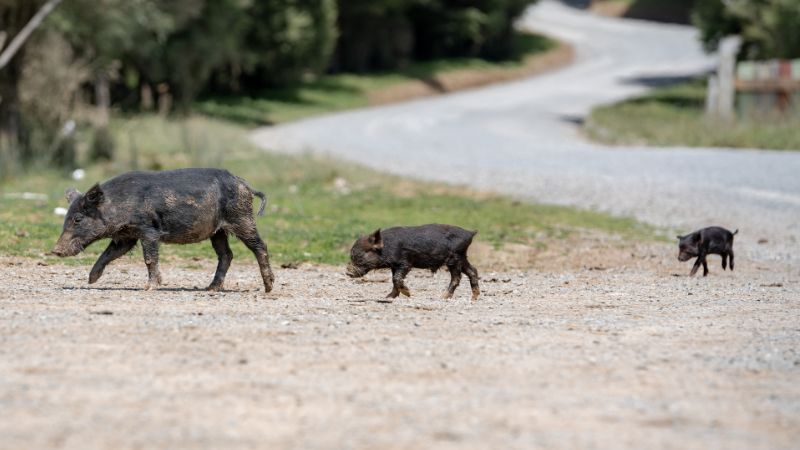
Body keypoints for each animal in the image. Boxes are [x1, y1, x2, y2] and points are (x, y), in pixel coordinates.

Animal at [52, 169, 276, 292]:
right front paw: (91, 280)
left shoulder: (148, 230)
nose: (55, 250)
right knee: (226, 254)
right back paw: (210, 288)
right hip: (217, 231)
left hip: (242, 219)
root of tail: (244, 184)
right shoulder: (126, 237)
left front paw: (149, 288)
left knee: (260, 246)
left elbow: (149, 259)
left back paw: (268, 288)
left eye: (78, 219)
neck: (117, 205)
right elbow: (107, 254)